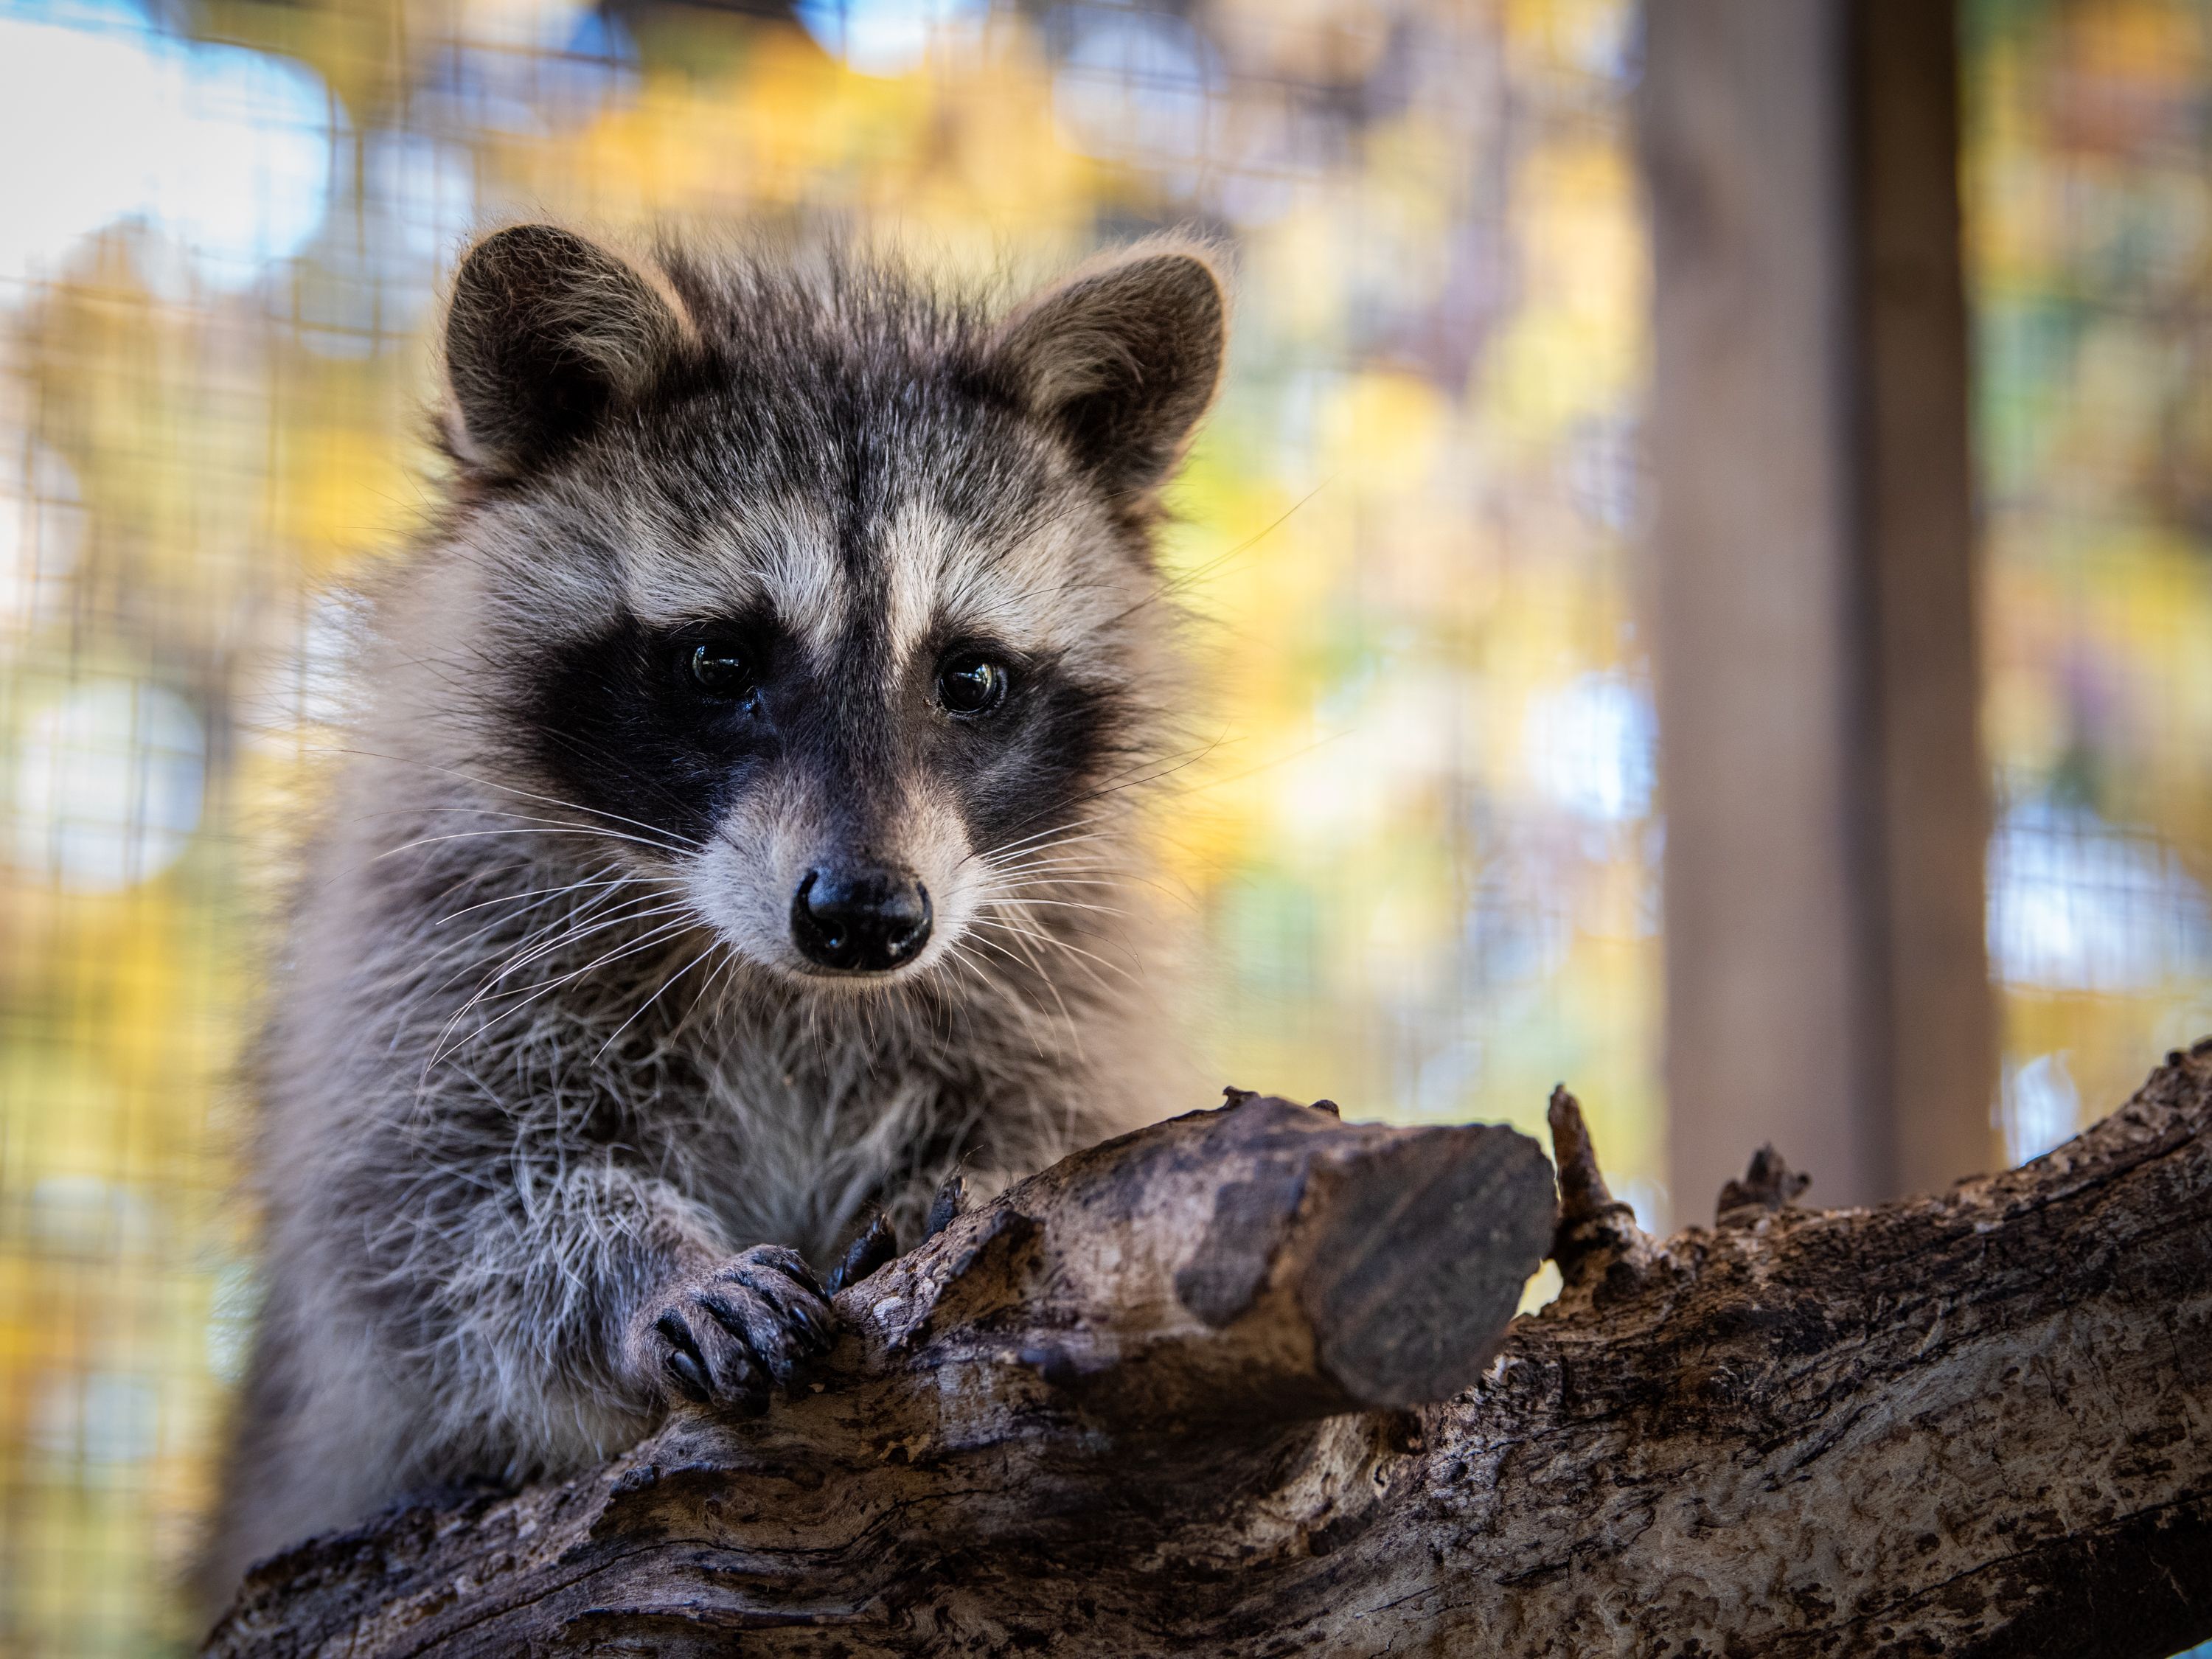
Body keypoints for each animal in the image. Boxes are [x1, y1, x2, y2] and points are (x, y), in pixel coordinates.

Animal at [204, 228, 1230, 1601]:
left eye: (969, 678)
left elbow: (1062, 1112)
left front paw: (978, 1173)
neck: (787, 984)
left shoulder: (1062, 961)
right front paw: (649, 1275)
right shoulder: (425, 935)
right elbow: (432, 1211)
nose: (866, 916)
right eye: (717, 662)